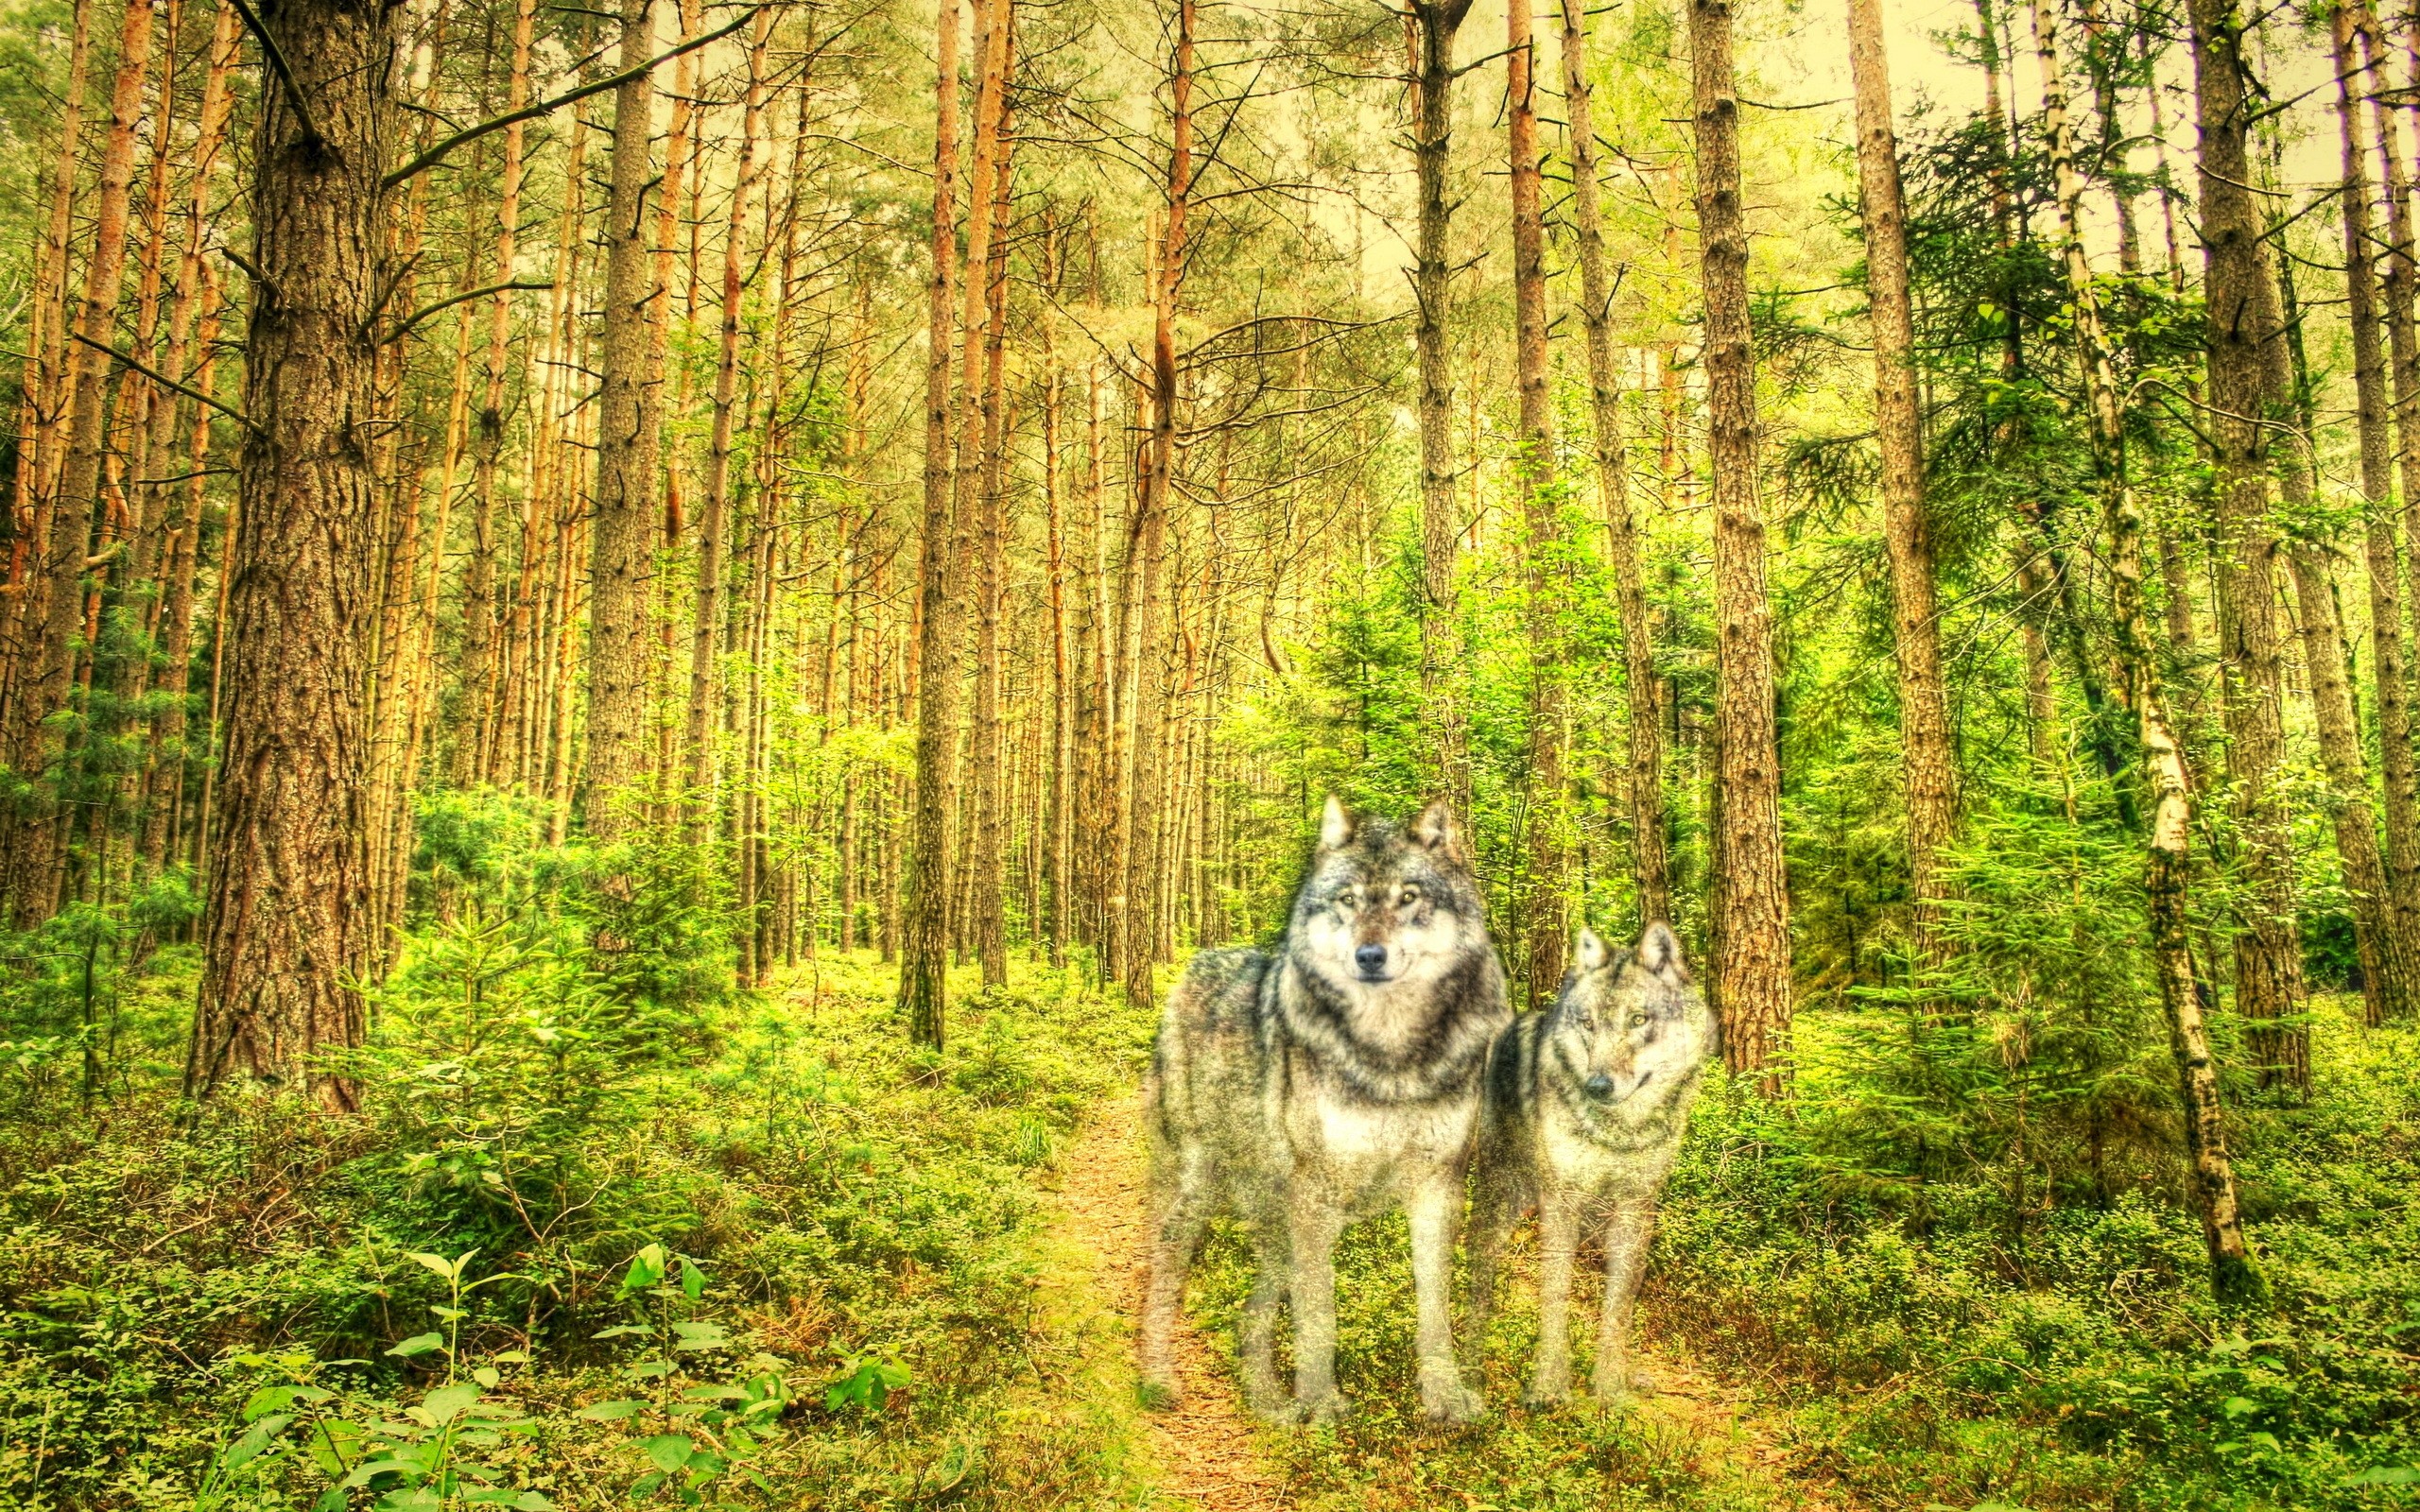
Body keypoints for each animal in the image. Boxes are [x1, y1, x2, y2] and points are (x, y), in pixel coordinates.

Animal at [1140, 795, 1511, 1424]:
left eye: (1408, 897)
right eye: (1348, 900)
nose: (1369, 955)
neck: (1391, 1060)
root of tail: (1194, 965)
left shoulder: (1438, 1187)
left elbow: (1435, 1309)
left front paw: (1444, 1396)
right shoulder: (1317, 1195)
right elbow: (1320, 1313)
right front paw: (1322, 1406)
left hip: (1273, 1224)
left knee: (1250, 1313)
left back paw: (1268, 1403)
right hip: (1200, 1191)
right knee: (1163, 1269)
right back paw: (1157, 1379)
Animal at [1467, 922, 1715, 1408]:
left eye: (1638, 1020)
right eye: (1588, 1023)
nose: (1597, 1086)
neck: (1620, 1132)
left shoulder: (1637, 1208)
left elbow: (1619, 1304)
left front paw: (1611, 1385)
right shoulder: (1562, 1203)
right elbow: (1555, 1294)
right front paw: (1549, 1385)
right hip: (1500, 1195)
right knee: (1475, 1268)